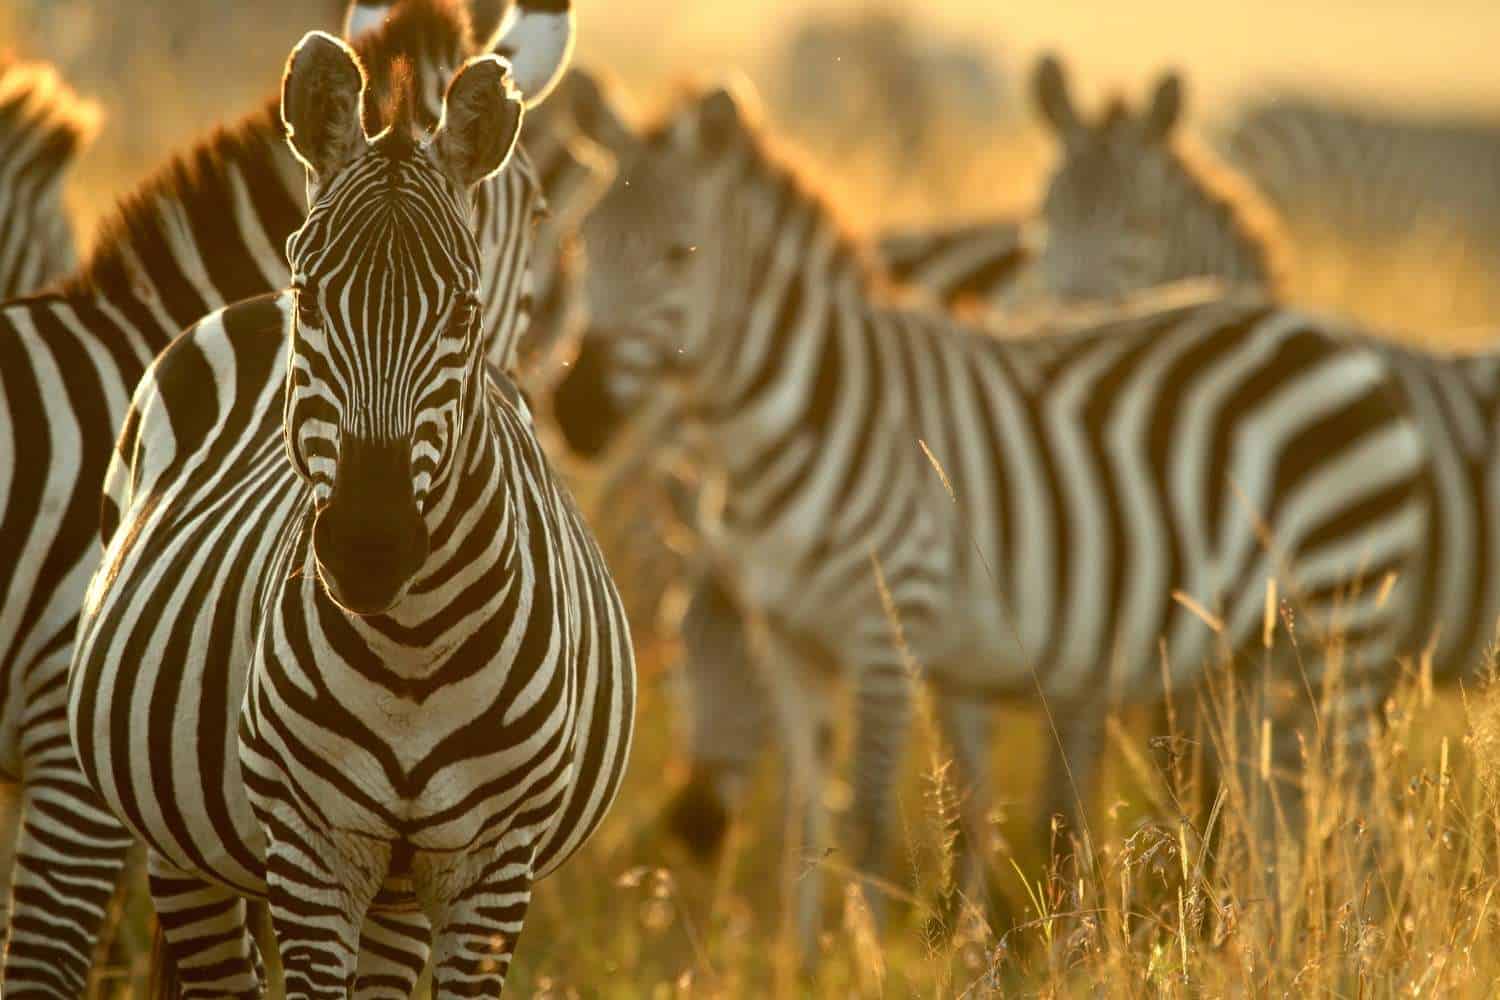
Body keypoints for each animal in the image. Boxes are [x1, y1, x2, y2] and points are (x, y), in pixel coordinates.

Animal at [560, 81, 1430, 954]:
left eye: (677, 254)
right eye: (581, 244)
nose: (579, 412)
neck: (798, 418)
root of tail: (1328, 337)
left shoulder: (889, 626)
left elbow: (868, 822)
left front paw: (864, 963)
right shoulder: (791, 638)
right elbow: (809, 820)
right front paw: (799, 962)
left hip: (1341, 621)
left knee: (1361, 813)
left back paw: (1360, 955)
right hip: (1259, 655)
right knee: (1272, 811)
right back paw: (1263, 951)